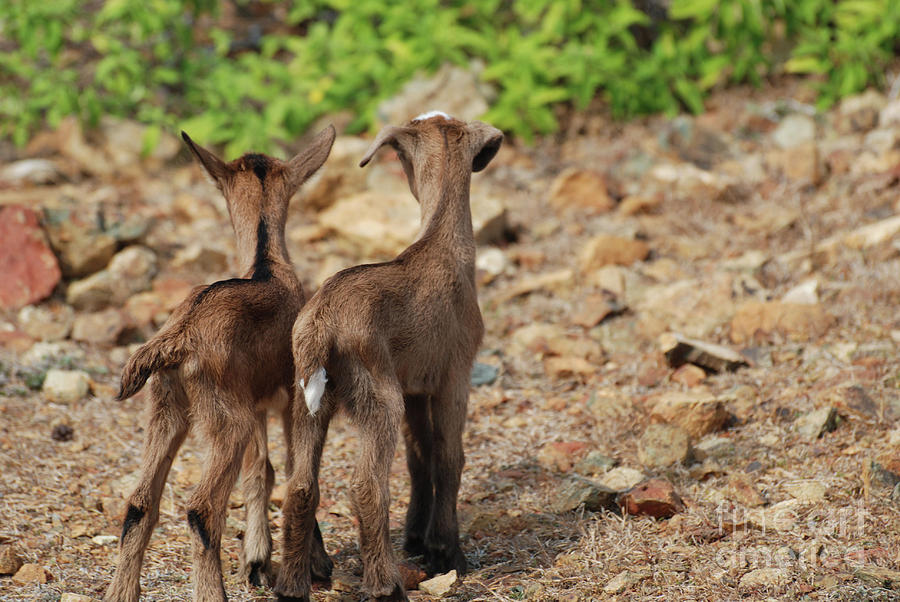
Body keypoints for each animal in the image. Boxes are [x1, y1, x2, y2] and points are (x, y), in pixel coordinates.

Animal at [276, 113, 500, 600]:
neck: (440, 247)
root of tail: (321, 324)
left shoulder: (415, 382)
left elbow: (420, 457)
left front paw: (417, 538)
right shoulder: (455, 374)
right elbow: (449, 457)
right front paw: (447, 553)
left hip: (307, 400)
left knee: (301, 484)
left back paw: (291, 584)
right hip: (377, 395)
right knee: (366, 485)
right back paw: (385, 584)